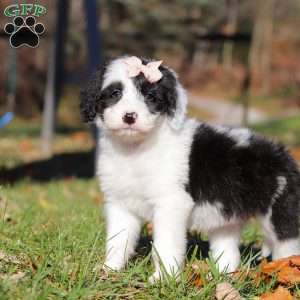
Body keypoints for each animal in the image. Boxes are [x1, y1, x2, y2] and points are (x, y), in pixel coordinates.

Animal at [80, 55, 300, 282]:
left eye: (151, 97)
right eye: (115, 93)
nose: (130, 116)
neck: (136, 150)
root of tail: (283, 153)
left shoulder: (170, 204)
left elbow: (165, 245)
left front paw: (163, 279)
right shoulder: (120, 204)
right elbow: (118, 241)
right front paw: (109, 271)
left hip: (280, 213)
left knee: (287, 245)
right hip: (226, 217)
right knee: (229, 250)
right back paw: (220, 276)